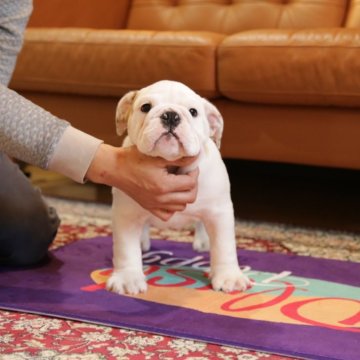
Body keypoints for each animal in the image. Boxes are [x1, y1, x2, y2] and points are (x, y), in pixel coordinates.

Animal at [107, 81, 250, 296]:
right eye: (145, 107)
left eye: (193, 112)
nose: (171, 115)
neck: (171, 164)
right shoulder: (126, 214)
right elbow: (125, 249)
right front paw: (128, 278)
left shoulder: (220, 212)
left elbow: (224, 247)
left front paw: (229, 277)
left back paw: (204, 241)